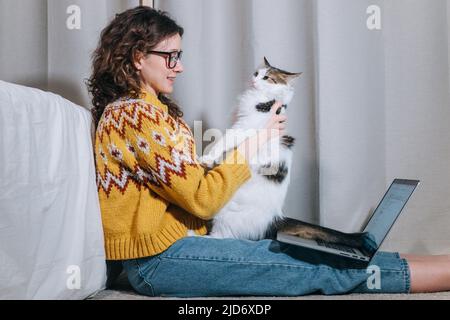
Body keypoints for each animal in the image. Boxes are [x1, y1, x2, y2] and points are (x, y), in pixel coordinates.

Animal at [200, 57, 302, 240]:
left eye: (266, 78)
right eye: (256, 73)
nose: (254, 80)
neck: (265, 100)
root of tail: (274, 218)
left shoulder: (242, 128)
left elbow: (222, 143)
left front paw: (208, 159)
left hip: (226, 213)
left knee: (220, 237)